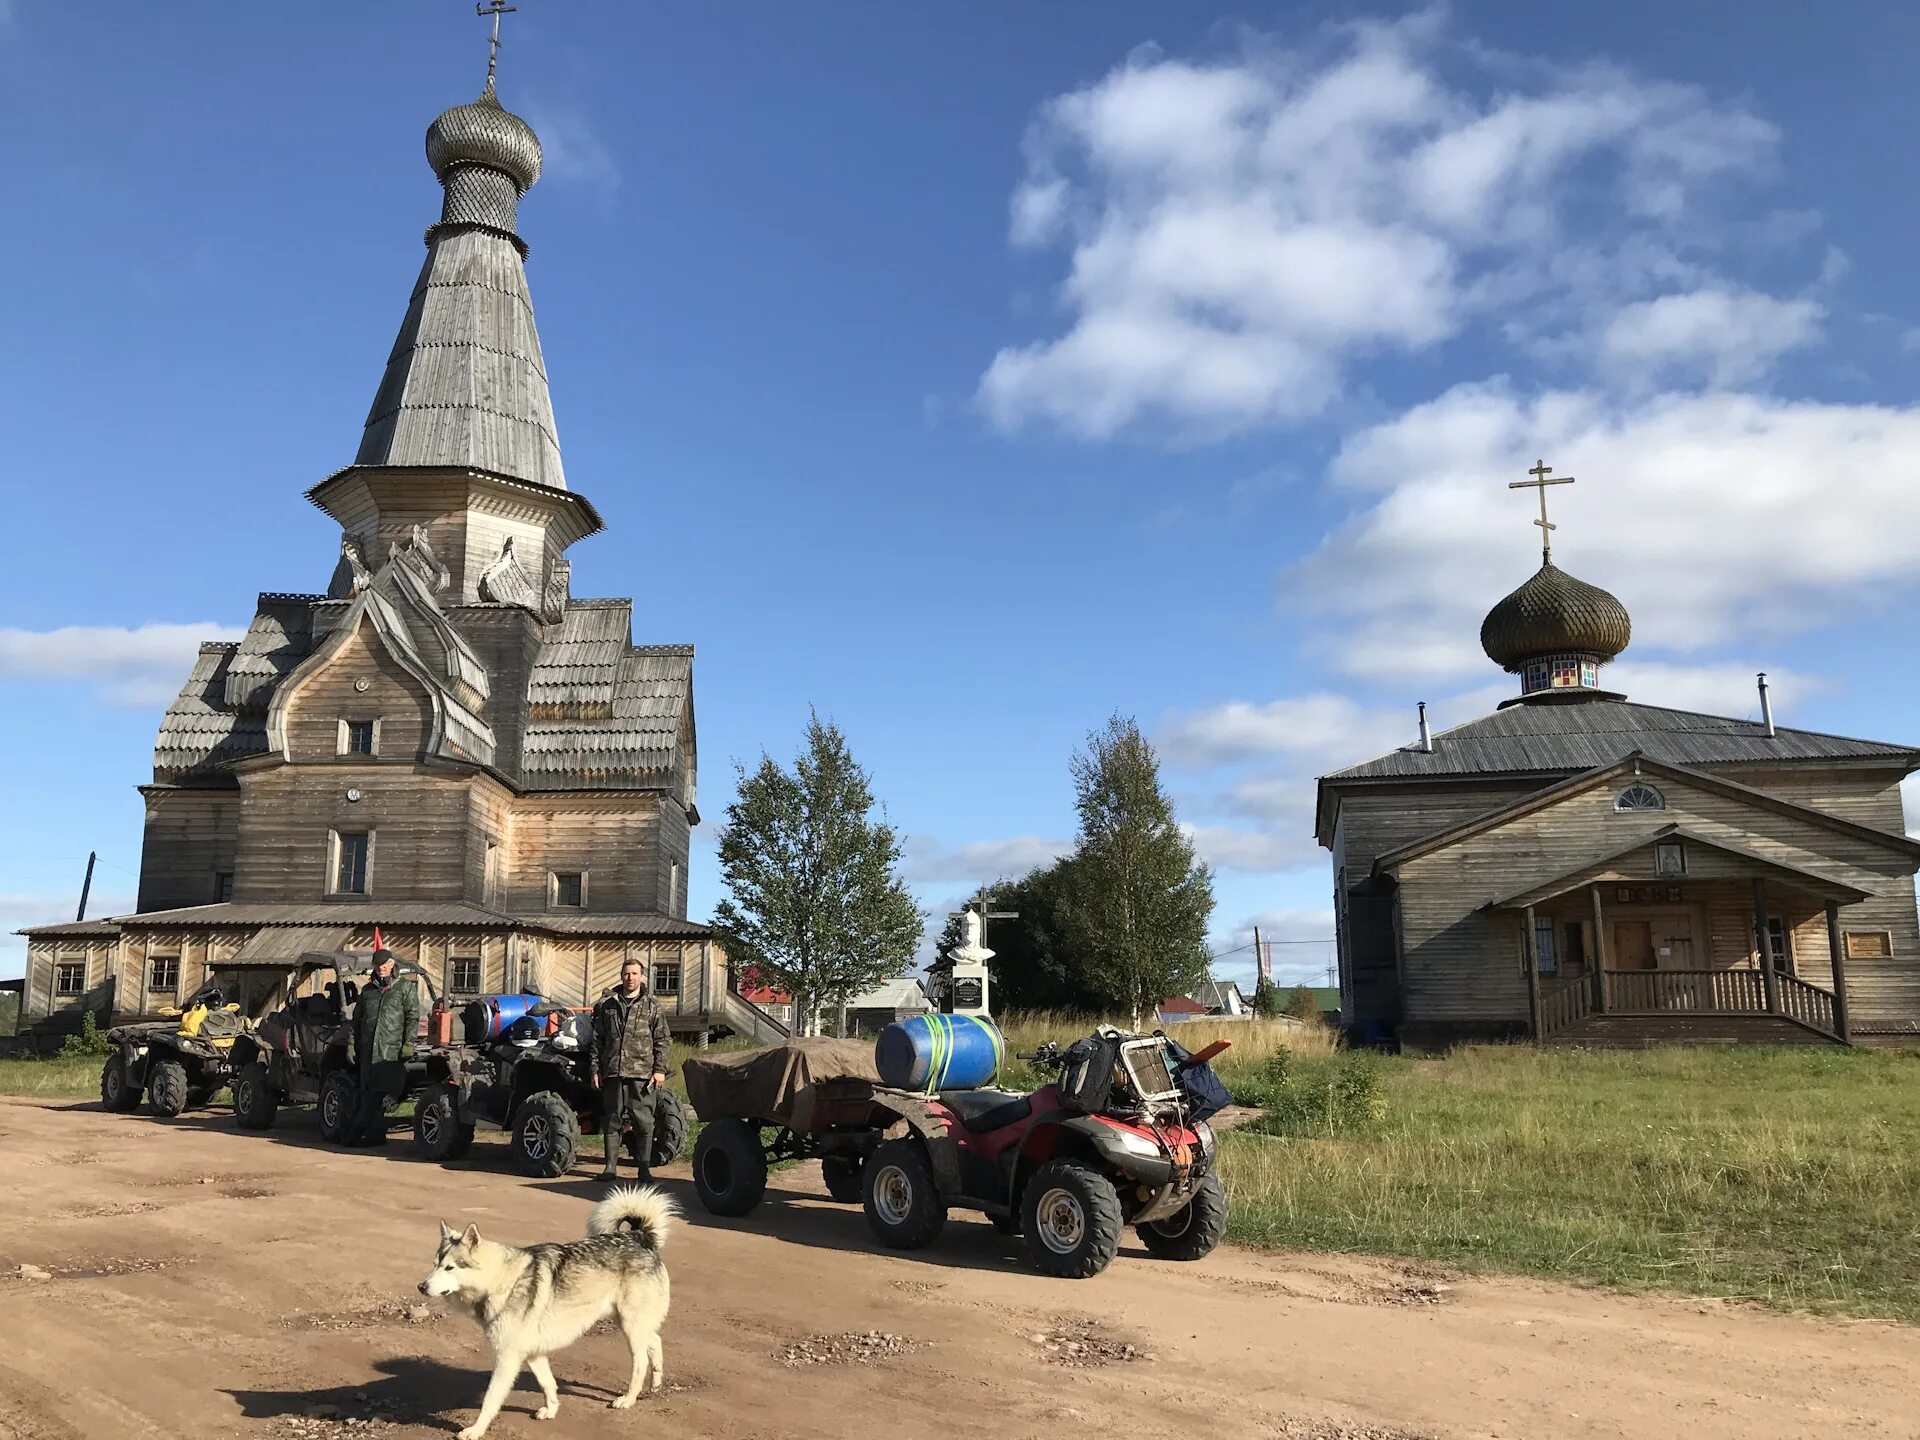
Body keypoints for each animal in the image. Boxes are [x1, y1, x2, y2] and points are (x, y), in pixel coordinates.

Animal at [418, 1190, 675, 1436]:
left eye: (449, 1267)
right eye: (434, 1264)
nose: (421, 1287)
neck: (503, 1280)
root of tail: (639, 1236)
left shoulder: (507, 1358)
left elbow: (490, 1400)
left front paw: (475, 1430)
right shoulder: (534, 1353)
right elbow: (547, 1383)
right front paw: (551, 1409)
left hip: (630, 1327)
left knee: (640, 1362)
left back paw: (629, 1398)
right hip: (626, 1321)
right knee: (655, 1340)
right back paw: (656, 1384)